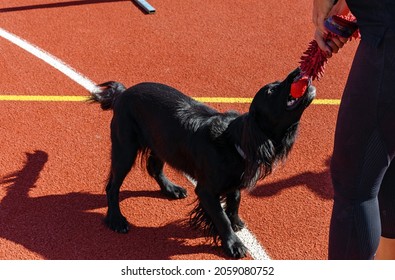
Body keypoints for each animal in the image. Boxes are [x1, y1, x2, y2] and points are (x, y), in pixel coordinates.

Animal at [89, 67, 316, 258]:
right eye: (271, 90)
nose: (299, 71)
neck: (234, 140)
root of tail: (122, 93)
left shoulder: (234, 180)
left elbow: (235, 200)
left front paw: (235, 221)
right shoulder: (206, 190)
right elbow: (221, 218)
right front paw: (233, 244)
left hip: (161, 143)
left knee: (155, 168)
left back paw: (171, 189)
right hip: (125, 149)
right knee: (112, 186)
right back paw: (116, 219)